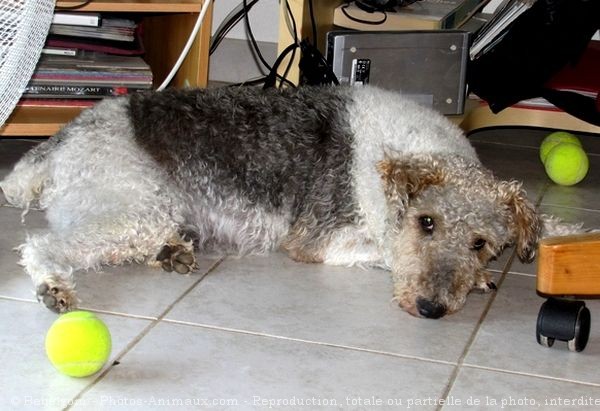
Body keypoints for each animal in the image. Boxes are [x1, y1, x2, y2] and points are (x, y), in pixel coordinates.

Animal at [0, 86, 576, 318]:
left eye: (480, 242)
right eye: (426, 222)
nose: (431, 309)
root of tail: (59, 140)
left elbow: (543, 223)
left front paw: (560, 235)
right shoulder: (318, 240)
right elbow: (388, 252)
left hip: (138, 212)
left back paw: (173, 252)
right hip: (131, 209)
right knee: (42, 244)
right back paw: (53, 287)